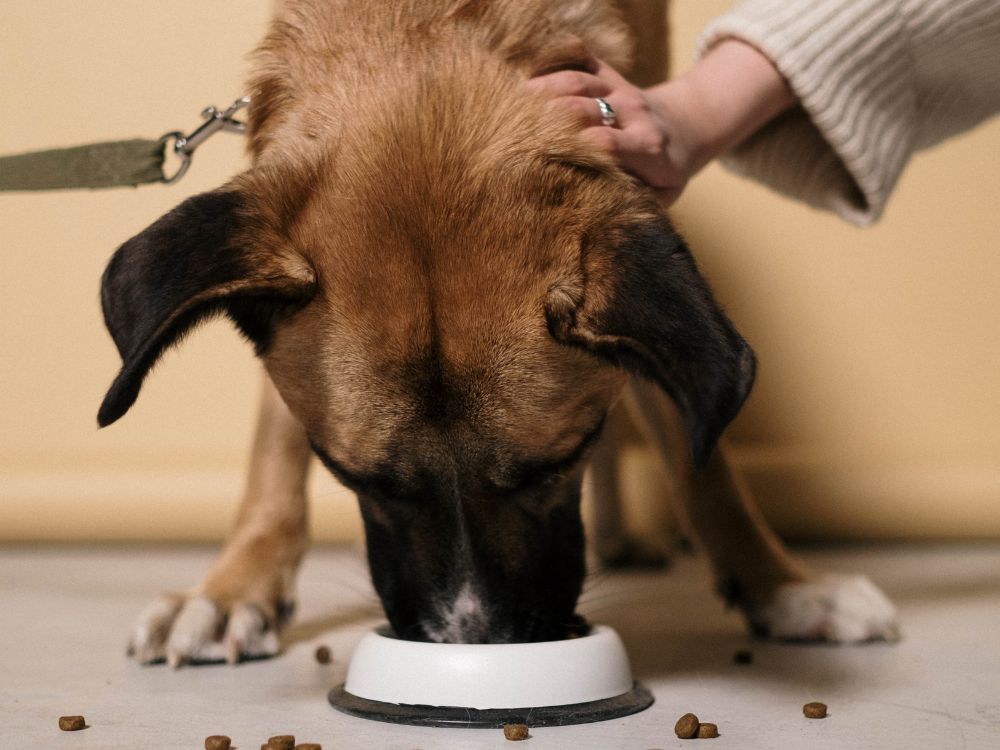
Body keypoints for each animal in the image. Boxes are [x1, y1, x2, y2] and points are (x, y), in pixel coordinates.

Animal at [99, 1, 900, 668]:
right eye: (355, 478)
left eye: (557, 464)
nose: (477, 640)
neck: (421, 39)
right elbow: (274, 451)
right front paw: (233, 588)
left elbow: (699, 454)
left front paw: (781, 586)